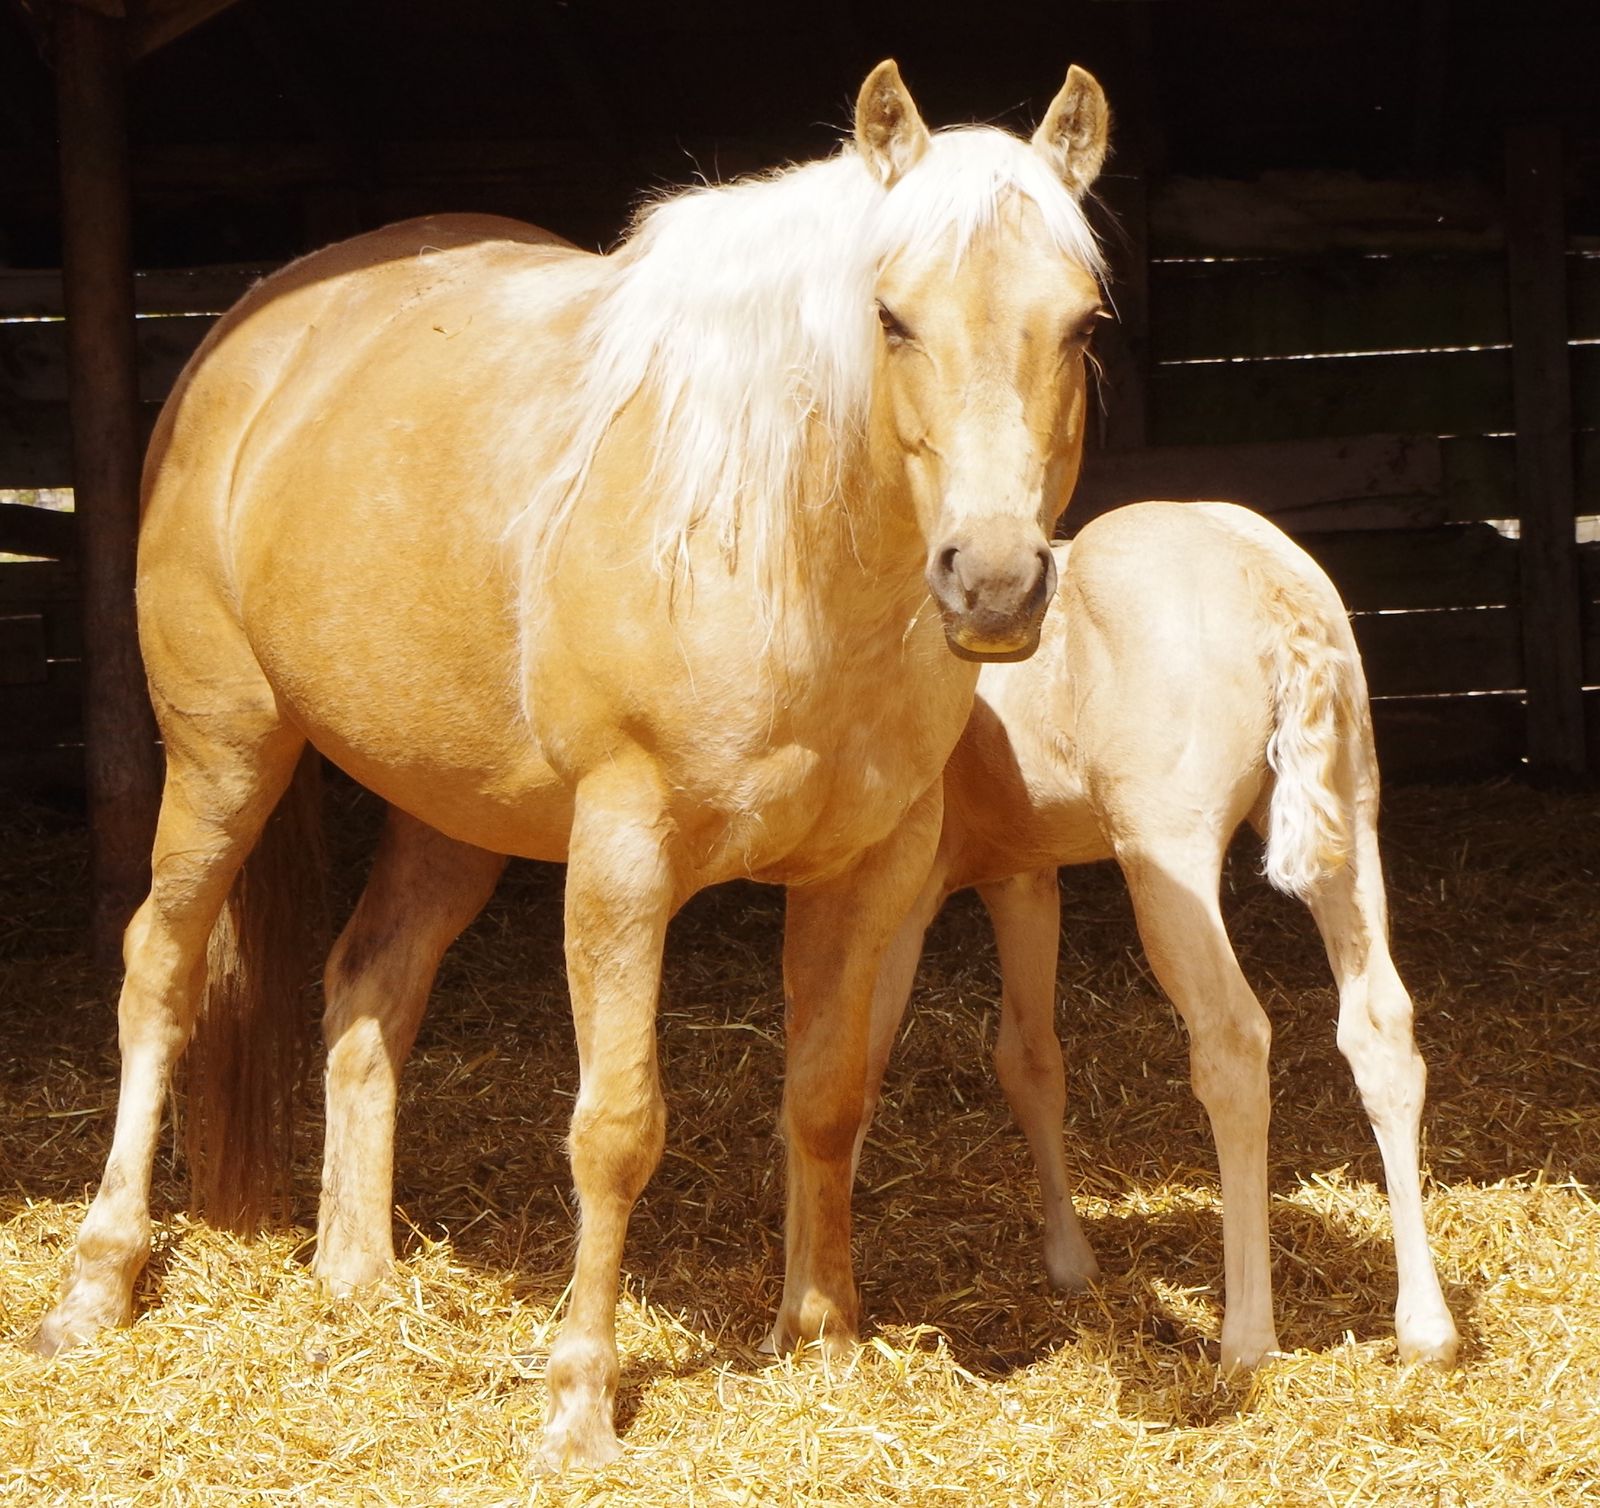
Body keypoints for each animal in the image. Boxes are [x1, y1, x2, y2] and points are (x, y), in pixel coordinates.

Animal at [32, 62, 1112, 1469]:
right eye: (891, 317)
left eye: (1081, 325)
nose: (991, 582)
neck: (779, 562)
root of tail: (253, 332)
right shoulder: (621, 861)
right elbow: (615, 1125)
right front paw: (577, 1399)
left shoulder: (871, 869)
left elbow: (826, 1096)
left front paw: (823, 1340)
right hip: (223, 752)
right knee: (157, 969)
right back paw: (97, 1277)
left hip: (450, 810)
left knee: (368, 984)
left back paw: (357, 1272)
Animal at [859, 501, 1461, 1371]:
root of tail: (1273, 589)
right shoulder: (1022, 876)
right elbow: (1029, 1061)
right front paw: (1071, 1266)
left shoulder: (896, 889)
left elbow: (847, 1071)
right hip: (1350, 827)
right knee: (1379, 1025)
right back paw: (1426, 1327)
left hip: (1166, 853)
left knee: (1232, 1041)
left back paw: (1247, 1339)